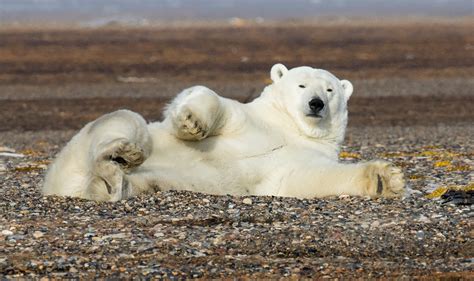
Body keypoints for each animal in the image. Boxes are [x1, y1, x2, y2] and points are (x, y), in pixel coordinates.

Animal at [43, 63, 404, 200]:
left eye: (329, 90)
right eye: (301, 84)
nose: (316, 103)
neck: (288, 128)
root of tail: (59, 183)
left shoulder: (297, 159)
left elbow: (305, 178)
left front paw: (386, 178)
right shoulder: (249, 120)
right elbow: (215, 102)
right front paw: (191, 122)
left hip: (144, 182)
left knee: (129, 183)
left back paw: (108, 181)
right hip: (92, 137)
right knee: (127, 123)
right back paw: (122, 154)